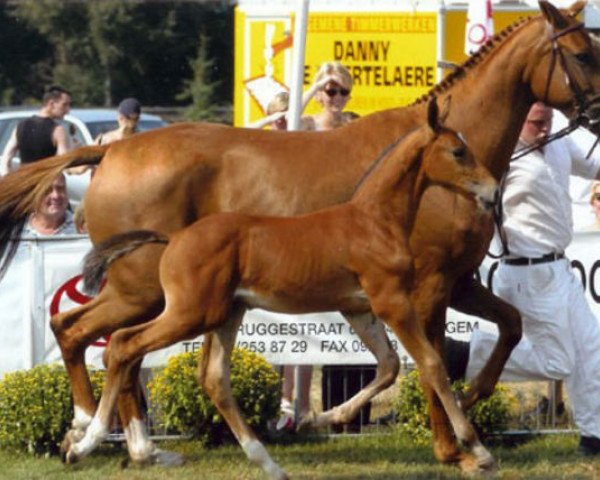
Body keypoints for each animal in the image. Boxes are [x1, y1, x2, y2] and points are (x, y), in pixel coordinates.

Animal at [64, 99, 496, 478]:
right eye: (458, 151)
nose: (492, 192)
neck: (373, 219)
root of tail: (173, 240)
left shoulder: (358, 307)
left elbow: (389, 365)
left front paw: (321, 416)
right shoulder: (392, 301)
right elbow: (433, 364)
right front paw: (476, 448)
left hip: (224, 313)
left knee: (212, 377)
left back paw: (266, 463)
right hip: (191, 313)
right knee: (123, 344)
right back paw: (87, 441)